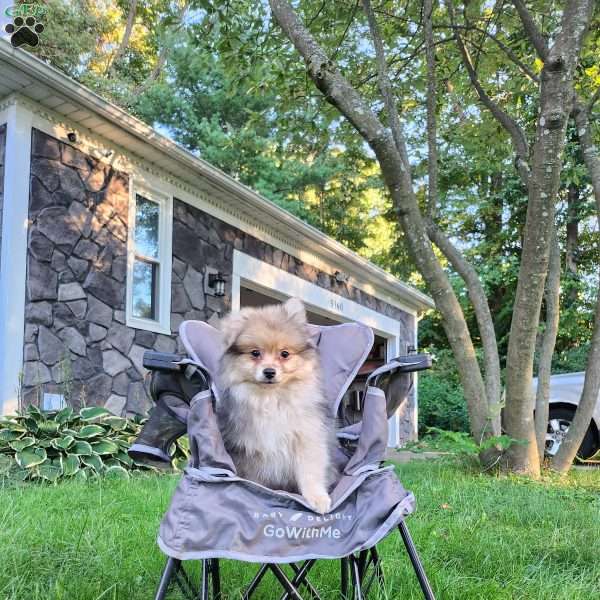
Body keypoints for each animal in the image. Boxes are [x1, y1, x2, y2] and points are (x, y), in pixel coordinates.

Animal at [217, 298, 338, 512]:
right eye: (255, 353)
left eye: (284, 354)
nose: (269, 372)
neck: (272, 399)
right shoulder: (249, 448)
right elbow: (254, 481)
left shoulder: (307, 439)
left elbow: (310, 472)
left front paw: (317, 498)